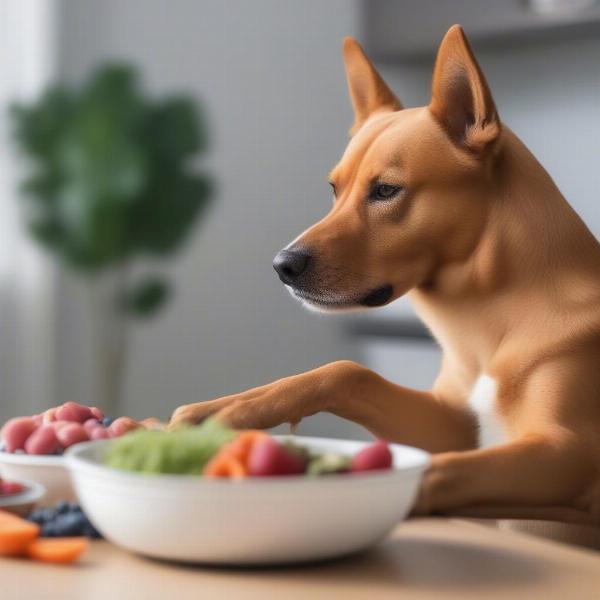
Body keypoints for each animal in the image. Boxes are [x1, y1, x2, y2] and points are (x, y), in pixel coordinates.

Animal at [169, 25, 600, 524]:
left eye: (387, 191)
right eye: (334, 189)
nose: (282, 266)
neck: (491, 324)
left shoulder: (567, 452)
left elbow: (440, 472)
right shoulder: (451, 424)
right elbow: (347, 372)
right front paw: (231, 408)